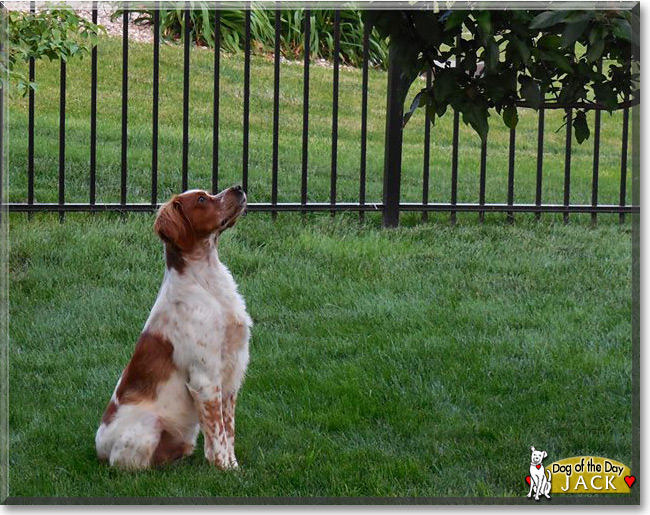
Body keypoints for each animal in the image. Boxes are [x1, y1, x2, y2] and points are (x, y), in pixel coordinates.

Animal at [93, 186, 251, 472]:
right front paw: (225, 469)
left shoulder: (231, 374)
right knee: (128, 465)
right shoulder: (205, 378)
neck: (206, 282)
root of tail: (98, 449)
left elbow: (228, 429)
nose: (238, 187)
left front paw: (233, 465)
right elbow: (218, 434)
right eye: (201, 199)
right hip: (149, 425)